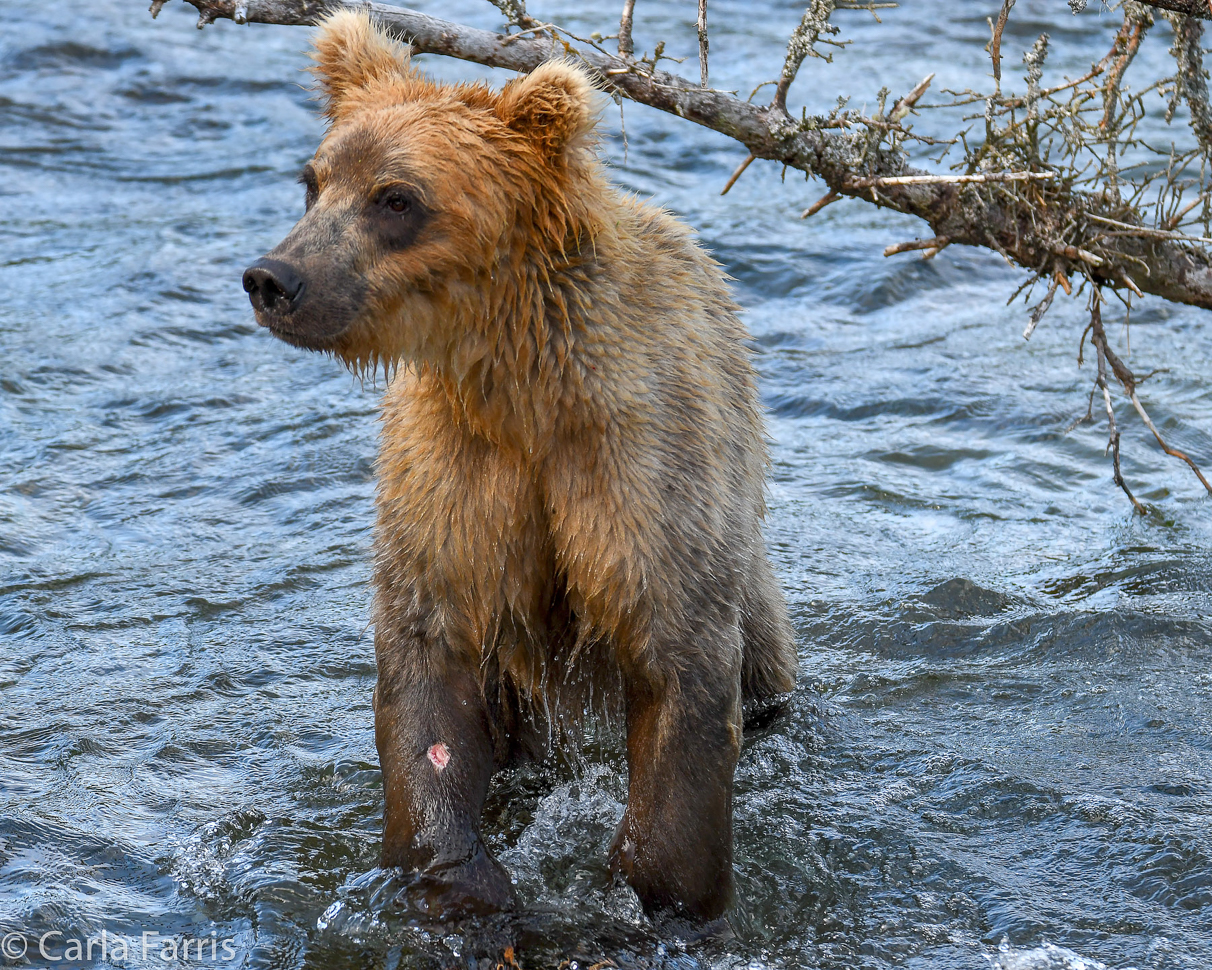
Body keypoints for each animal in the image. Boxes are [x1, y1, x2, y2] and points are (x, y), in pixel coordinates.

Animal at [242, 9, 799, 926]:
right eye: (312, 182)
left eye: (396, 198)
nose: (274, 278)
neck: (523, 388)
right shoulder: (454, 471)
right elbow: (427, 662)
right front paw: (458, 880)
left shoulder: (637, 465)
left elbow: (677, 661)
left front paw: (655, 899)